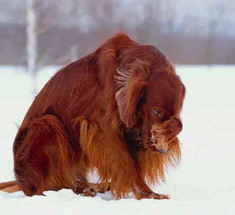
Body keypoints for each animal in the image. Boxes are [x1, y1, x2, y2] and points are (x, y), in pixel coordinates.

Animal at [0, 33, 185, 200]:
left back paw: (94, 186)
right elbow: (128, 163)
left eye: (176, 112)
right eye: (157, 111)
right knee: (43, 188)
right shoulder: (104, 127)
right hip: (47, 124)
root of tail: (20, 181)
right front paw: (148, 194)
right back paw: (82, 191)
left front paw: (168, 132)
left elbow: (178, 125)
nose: (161, 150)